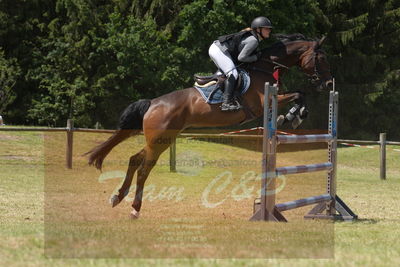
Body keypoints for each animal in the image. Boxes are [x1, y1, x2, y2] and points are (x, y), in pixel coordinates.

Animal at [86, 33, 332, 220]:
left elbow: (299, 94)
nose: (328, 84)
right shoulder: (263, 103)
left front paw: (293, 116)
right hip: (159, 141)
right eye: (321, 59)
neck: (265, 67)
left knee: (134, 159)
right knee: (144, 168)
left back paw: (118, 197)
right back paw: (135, 208)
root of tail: (153, 103)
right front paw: (291, 116)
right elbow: (299, 94)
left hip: (162, 139)